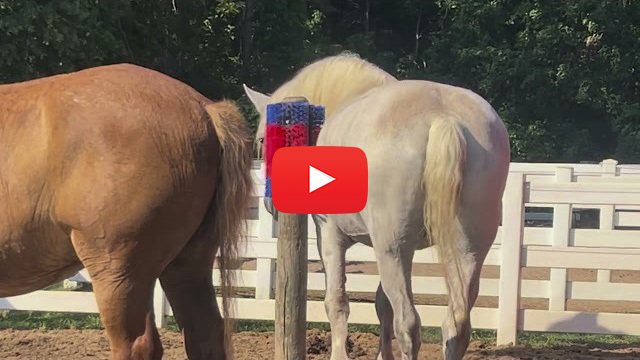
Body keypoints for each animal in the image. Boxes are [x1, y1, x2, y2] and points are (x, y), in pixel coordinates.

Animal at [245, 53, 510, 360]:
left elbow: (337, 301)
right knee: (456, 325)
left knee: (409, 325)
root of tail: (442, 116)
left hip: (393, 250)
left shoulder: (331, 235)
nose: (270, 204)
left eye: (263, 139)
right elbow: (382, 304)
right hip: (464, 251)